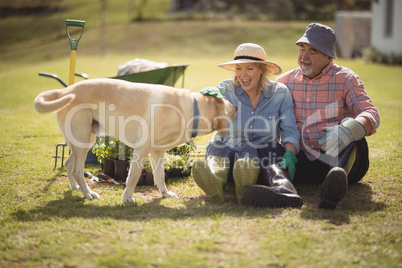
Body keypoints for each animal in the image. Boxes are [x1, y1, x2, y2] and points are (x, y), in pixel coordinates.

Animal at [35, 78, 236, 202]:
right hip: (82, 141)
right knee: (77, 170)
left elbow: (160, 175)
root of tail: (66, 90)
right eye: (228, 103)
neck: (192, 110)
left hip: (82, 141)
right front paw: (127, 197)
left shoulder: (157, 152)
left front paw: (165, 194)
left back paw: (75, 188)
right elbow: (133, 176)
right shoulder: (141, 150)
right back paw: (88, 193)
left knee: (69, 164)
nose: (236, 106)